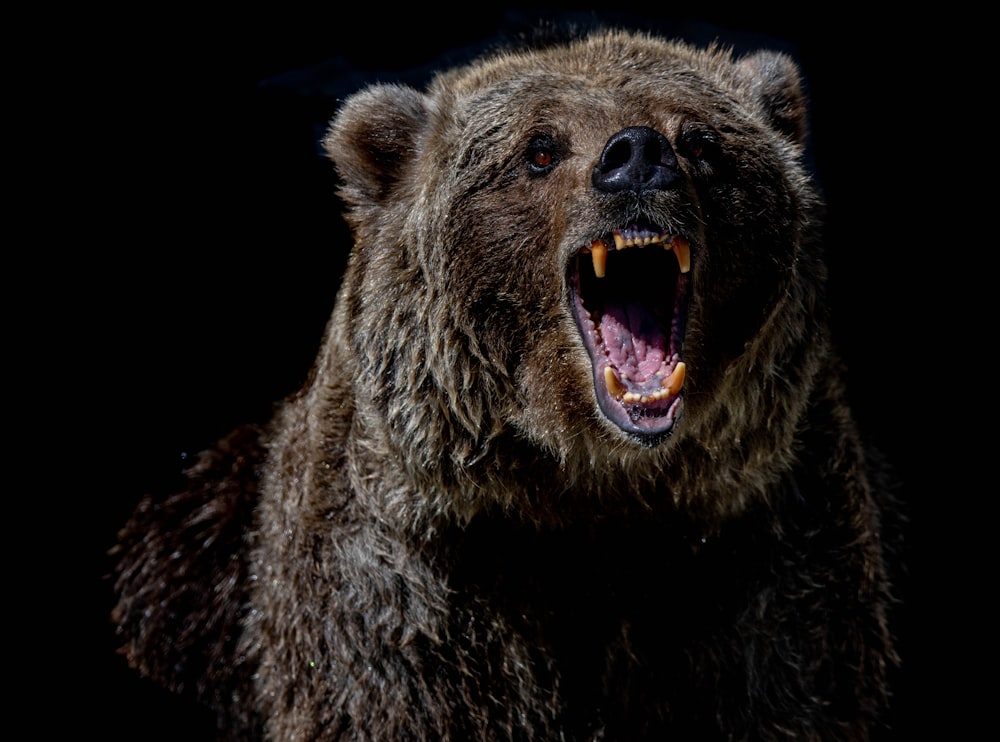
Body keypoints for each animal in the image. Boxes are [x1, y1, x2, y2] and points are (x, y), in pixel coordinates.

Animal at [111, 26, 908, 740]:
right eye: (540, 150)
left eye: (702, 142)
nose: (637, 156)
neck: (591, 494)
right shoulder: (410, 596)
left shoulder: (765, 568)